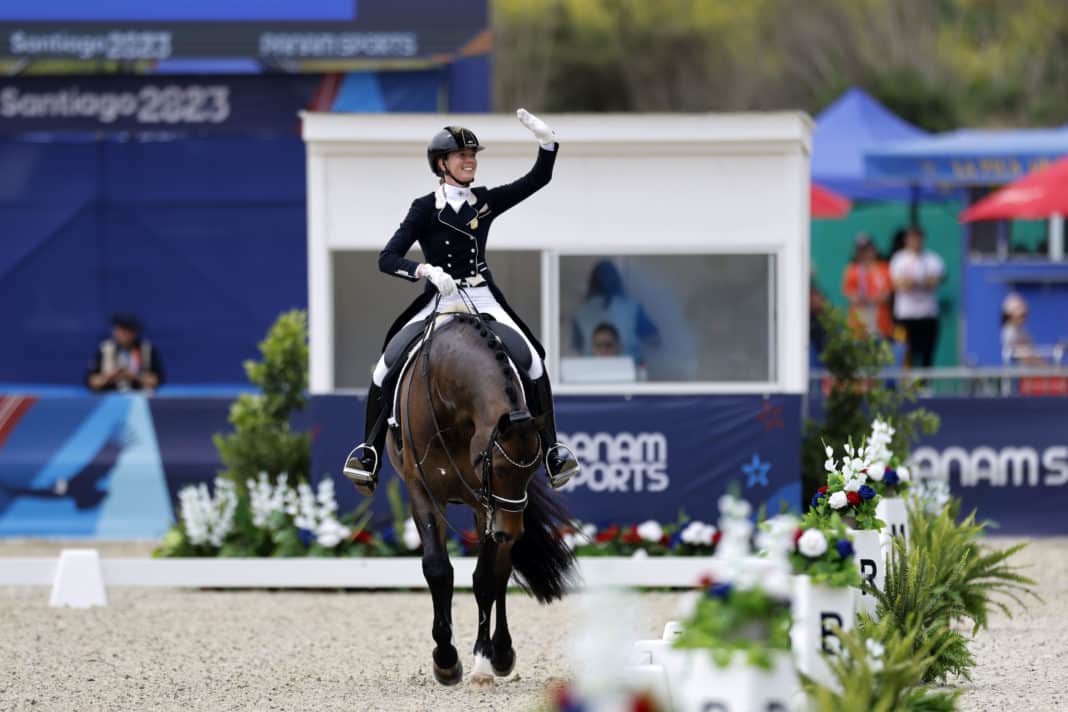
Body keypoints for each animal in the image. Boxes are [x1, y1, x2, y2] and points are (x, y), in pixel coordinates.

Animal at [388, 303, 580, 687]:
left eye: (532, 469)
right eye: (499, 469)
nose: (511, 531)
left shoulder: (486, 502)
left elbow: (486, 578)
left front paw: (483, 660)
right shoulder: (423, 491)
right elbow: (438, 569)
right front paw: (446, 660)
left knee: (501, 572)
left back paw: (500, 653)